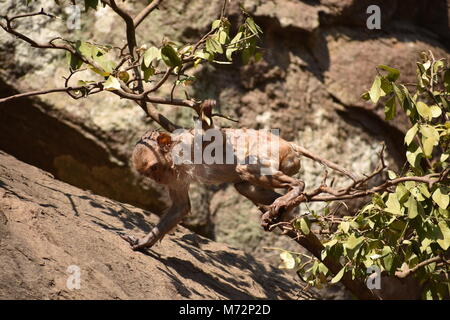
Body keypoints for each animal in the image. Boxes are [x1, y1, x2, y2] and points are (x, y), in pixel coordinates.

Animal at [120, 127, 358, 250]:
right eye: (149, 173)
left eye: (154, 167)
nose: (159, 179)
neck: (173, 157)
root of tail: (288, 143)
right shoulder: (174, 177)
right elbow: (181, 207)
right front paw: (144, 242)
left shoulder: (188, 146)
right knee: (242, 185)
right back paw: (282, 210)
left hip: (274, 153)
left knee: (247, 168)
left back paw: (294, 191)